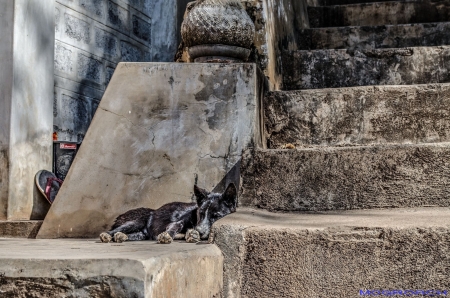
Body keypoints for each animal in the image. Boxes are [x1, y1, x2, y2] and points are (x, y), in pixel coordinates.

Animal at [100, 183, 237, 243]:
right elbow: (175, 226)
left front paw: (192, 235)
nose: (199, 230)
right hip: (134, 223)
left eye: (216, 216)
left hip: (141, 235)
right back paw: (107, 235)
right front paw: (167, 235)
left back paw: (120, 236)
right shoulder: (177, 222)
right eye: (201, 213)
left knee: (128, 235)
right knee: (112, 231)